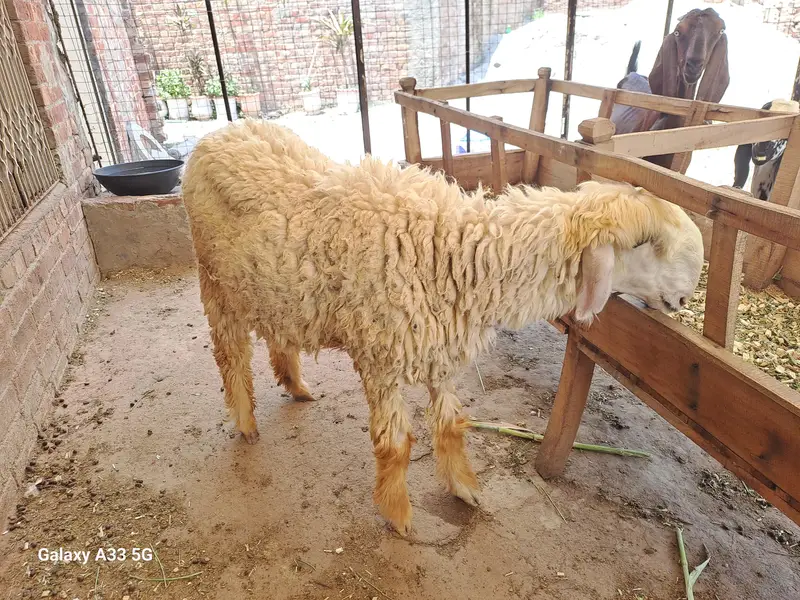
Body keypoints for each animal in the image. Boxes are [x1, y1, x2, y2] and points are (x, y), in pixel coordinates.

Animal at [181, 120, 704, 535]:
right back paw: (245, 422)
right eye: (648, 244)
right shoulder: (381, 357)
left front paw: (464, 489)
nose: (685, 296)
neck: (452, 249)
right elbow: (395, 446)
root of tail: (215, 134)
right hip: (214, 281)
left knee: (278, 333)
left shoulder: (440, 351)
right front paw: (398, 515)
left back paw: (295, 384)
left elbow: (452, 426)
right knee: (230, 354)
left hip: (271, 286)